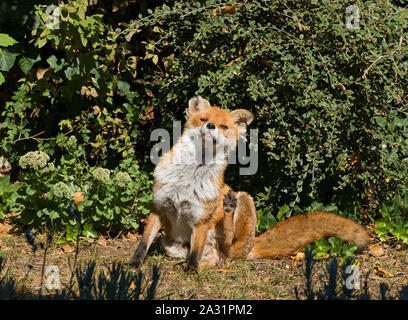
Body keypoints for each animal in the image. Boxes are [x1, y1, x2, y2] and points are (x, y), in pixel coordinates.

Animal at [129, 96, 372, 272]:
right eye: (203, 119)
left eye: (224, 126)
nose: (210, 126)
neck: (189, 177)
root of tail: (250, 247)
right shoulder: (159, 208)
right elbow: (143, 243)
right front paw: (134, 263)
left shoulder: (202, 219)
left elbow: (196, 251)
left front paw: (190, 269)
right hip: (170, 245)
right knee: (214, 260)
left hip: (244, 200)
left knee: (226, 249)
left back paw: (227, 210)